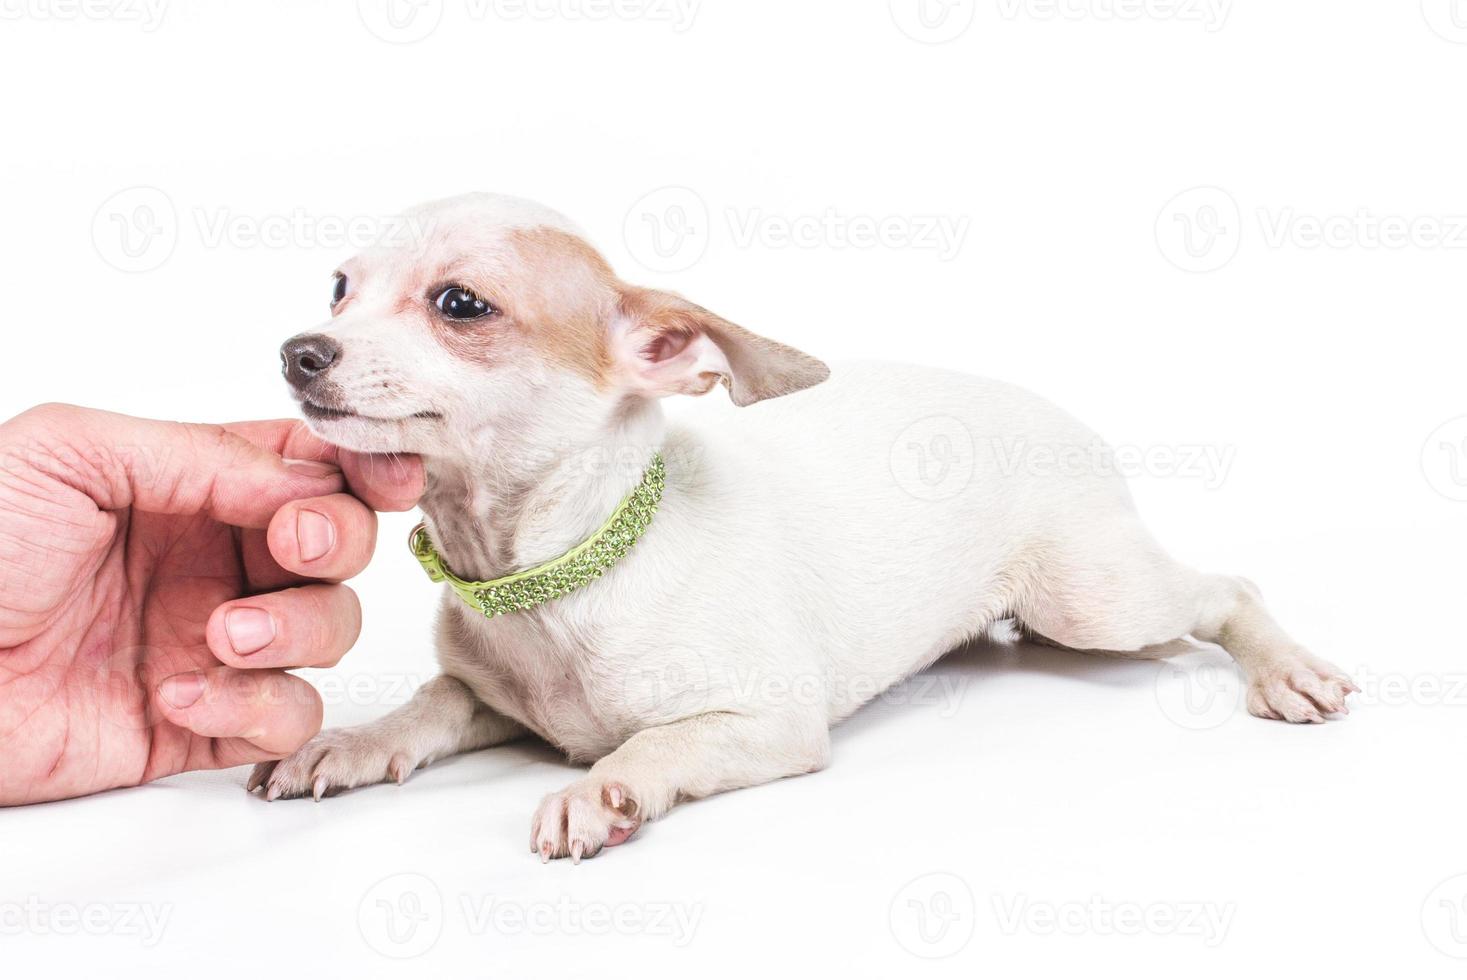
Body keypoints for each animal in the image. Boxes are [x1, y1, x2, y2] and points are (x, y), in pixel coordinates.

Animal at [258, 195, 1355, 862]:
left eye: (461, 304)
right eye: (339, 288)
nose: (299, 351)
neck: (554, 577)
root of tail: (1063, 418)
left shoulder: (766, 723)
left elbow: (650, 745)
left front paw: (604, 791)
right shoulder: (486, 698)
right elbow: (426, 707)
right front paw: (349, 741)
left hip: (1092, 600)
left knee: (1227, 590)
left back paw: (1285, 668)